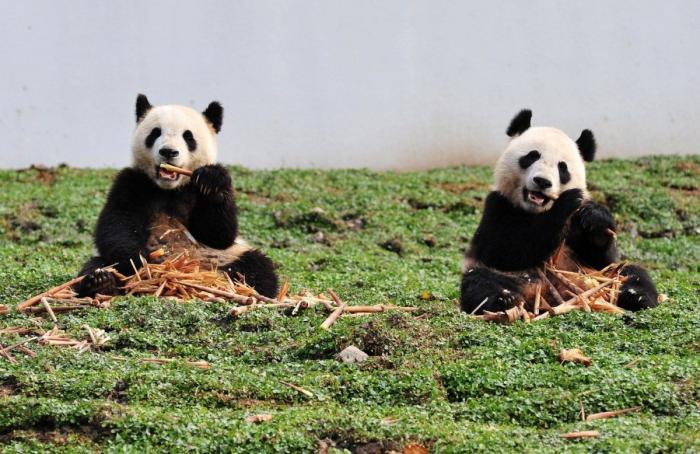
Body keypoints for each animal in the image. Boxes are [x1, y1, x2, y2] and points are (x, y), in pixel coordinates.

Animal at [74, 94, 278, 298]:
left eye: (188, 136)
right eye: (155, 133)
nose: (168, 152)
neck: (170, 189)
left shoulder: (194, 191)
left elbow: (218, 234)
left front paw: (212, 180)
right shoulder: (133, 182)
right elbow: (118, 225)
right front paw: (141, 265)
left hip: (225, 256)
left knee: (258, 266)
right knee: (96, 264)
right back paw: (101, 282)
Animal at [460, 109, 658, 314]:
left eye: (562, 168)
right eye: (532, 156)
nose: (542, 181)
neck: (537, 211)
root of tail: (549, 294)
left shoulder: (580, 231)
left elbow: (602, 257)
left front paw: (596, 218)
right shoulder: (498, 205)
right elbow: (504, 250)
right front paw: (567, 201)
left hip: (598, 275)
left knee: (631, 272)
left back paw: (636, 296)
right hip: (506, 276)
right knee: (480, 280)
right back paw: (503, 299)